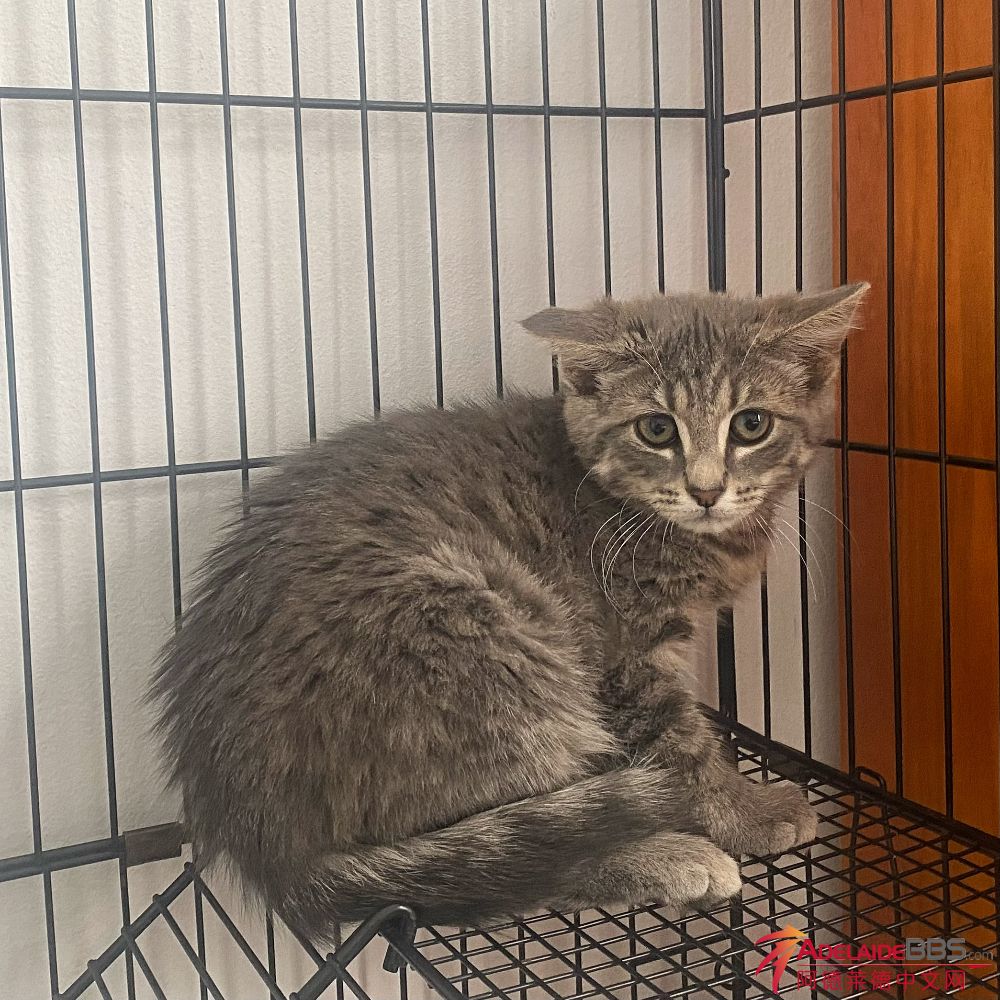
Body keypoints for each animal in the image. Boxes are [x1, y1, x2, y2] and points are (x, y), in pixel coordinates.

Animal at [152, 283, 867, 938]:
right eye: (657, 429)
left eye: (751, 424)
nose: (707, 490)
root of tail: (264, 840)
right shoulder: (622, 652)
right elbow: (681, 747)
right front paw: (745, 812)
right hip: (491, 648)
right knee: (519, 867)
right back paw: (665, 856)